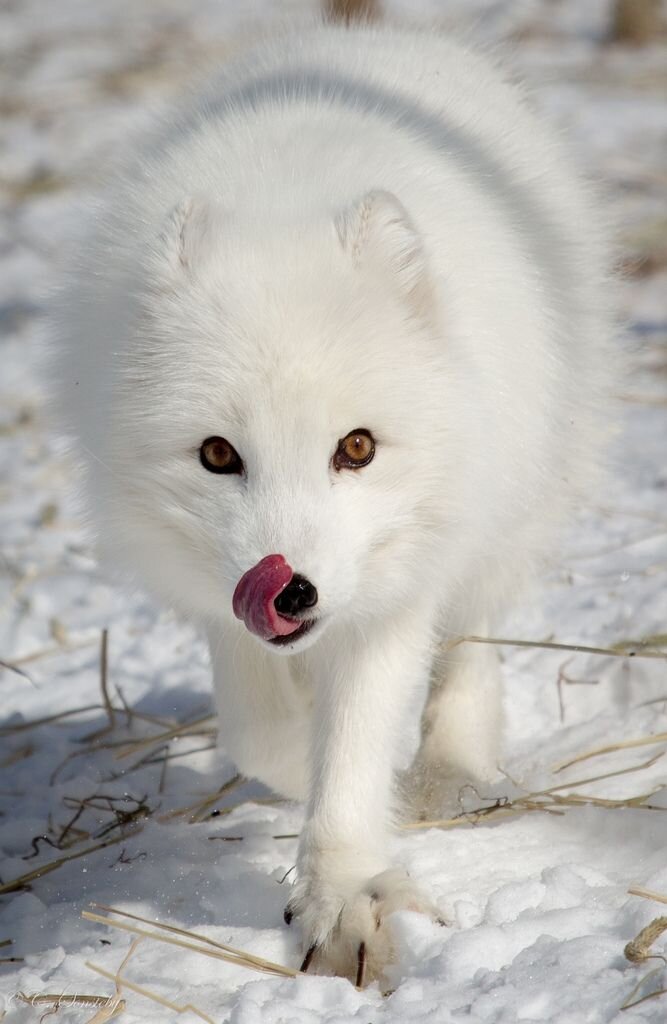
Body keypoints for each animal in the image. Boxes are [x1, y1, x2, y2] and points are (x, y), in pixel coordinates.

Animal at [54, 22, 614, 983]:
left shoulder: (394, 591)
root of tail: (374, 32)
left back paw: (453, 768)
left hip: (506, 500)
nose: (289, 590)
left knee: (471, 639)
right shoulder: (216, 597)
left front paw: (345, 897)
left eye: (356, 448)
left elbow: (353, 740)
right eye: (218, 455)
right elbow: (266, 734)